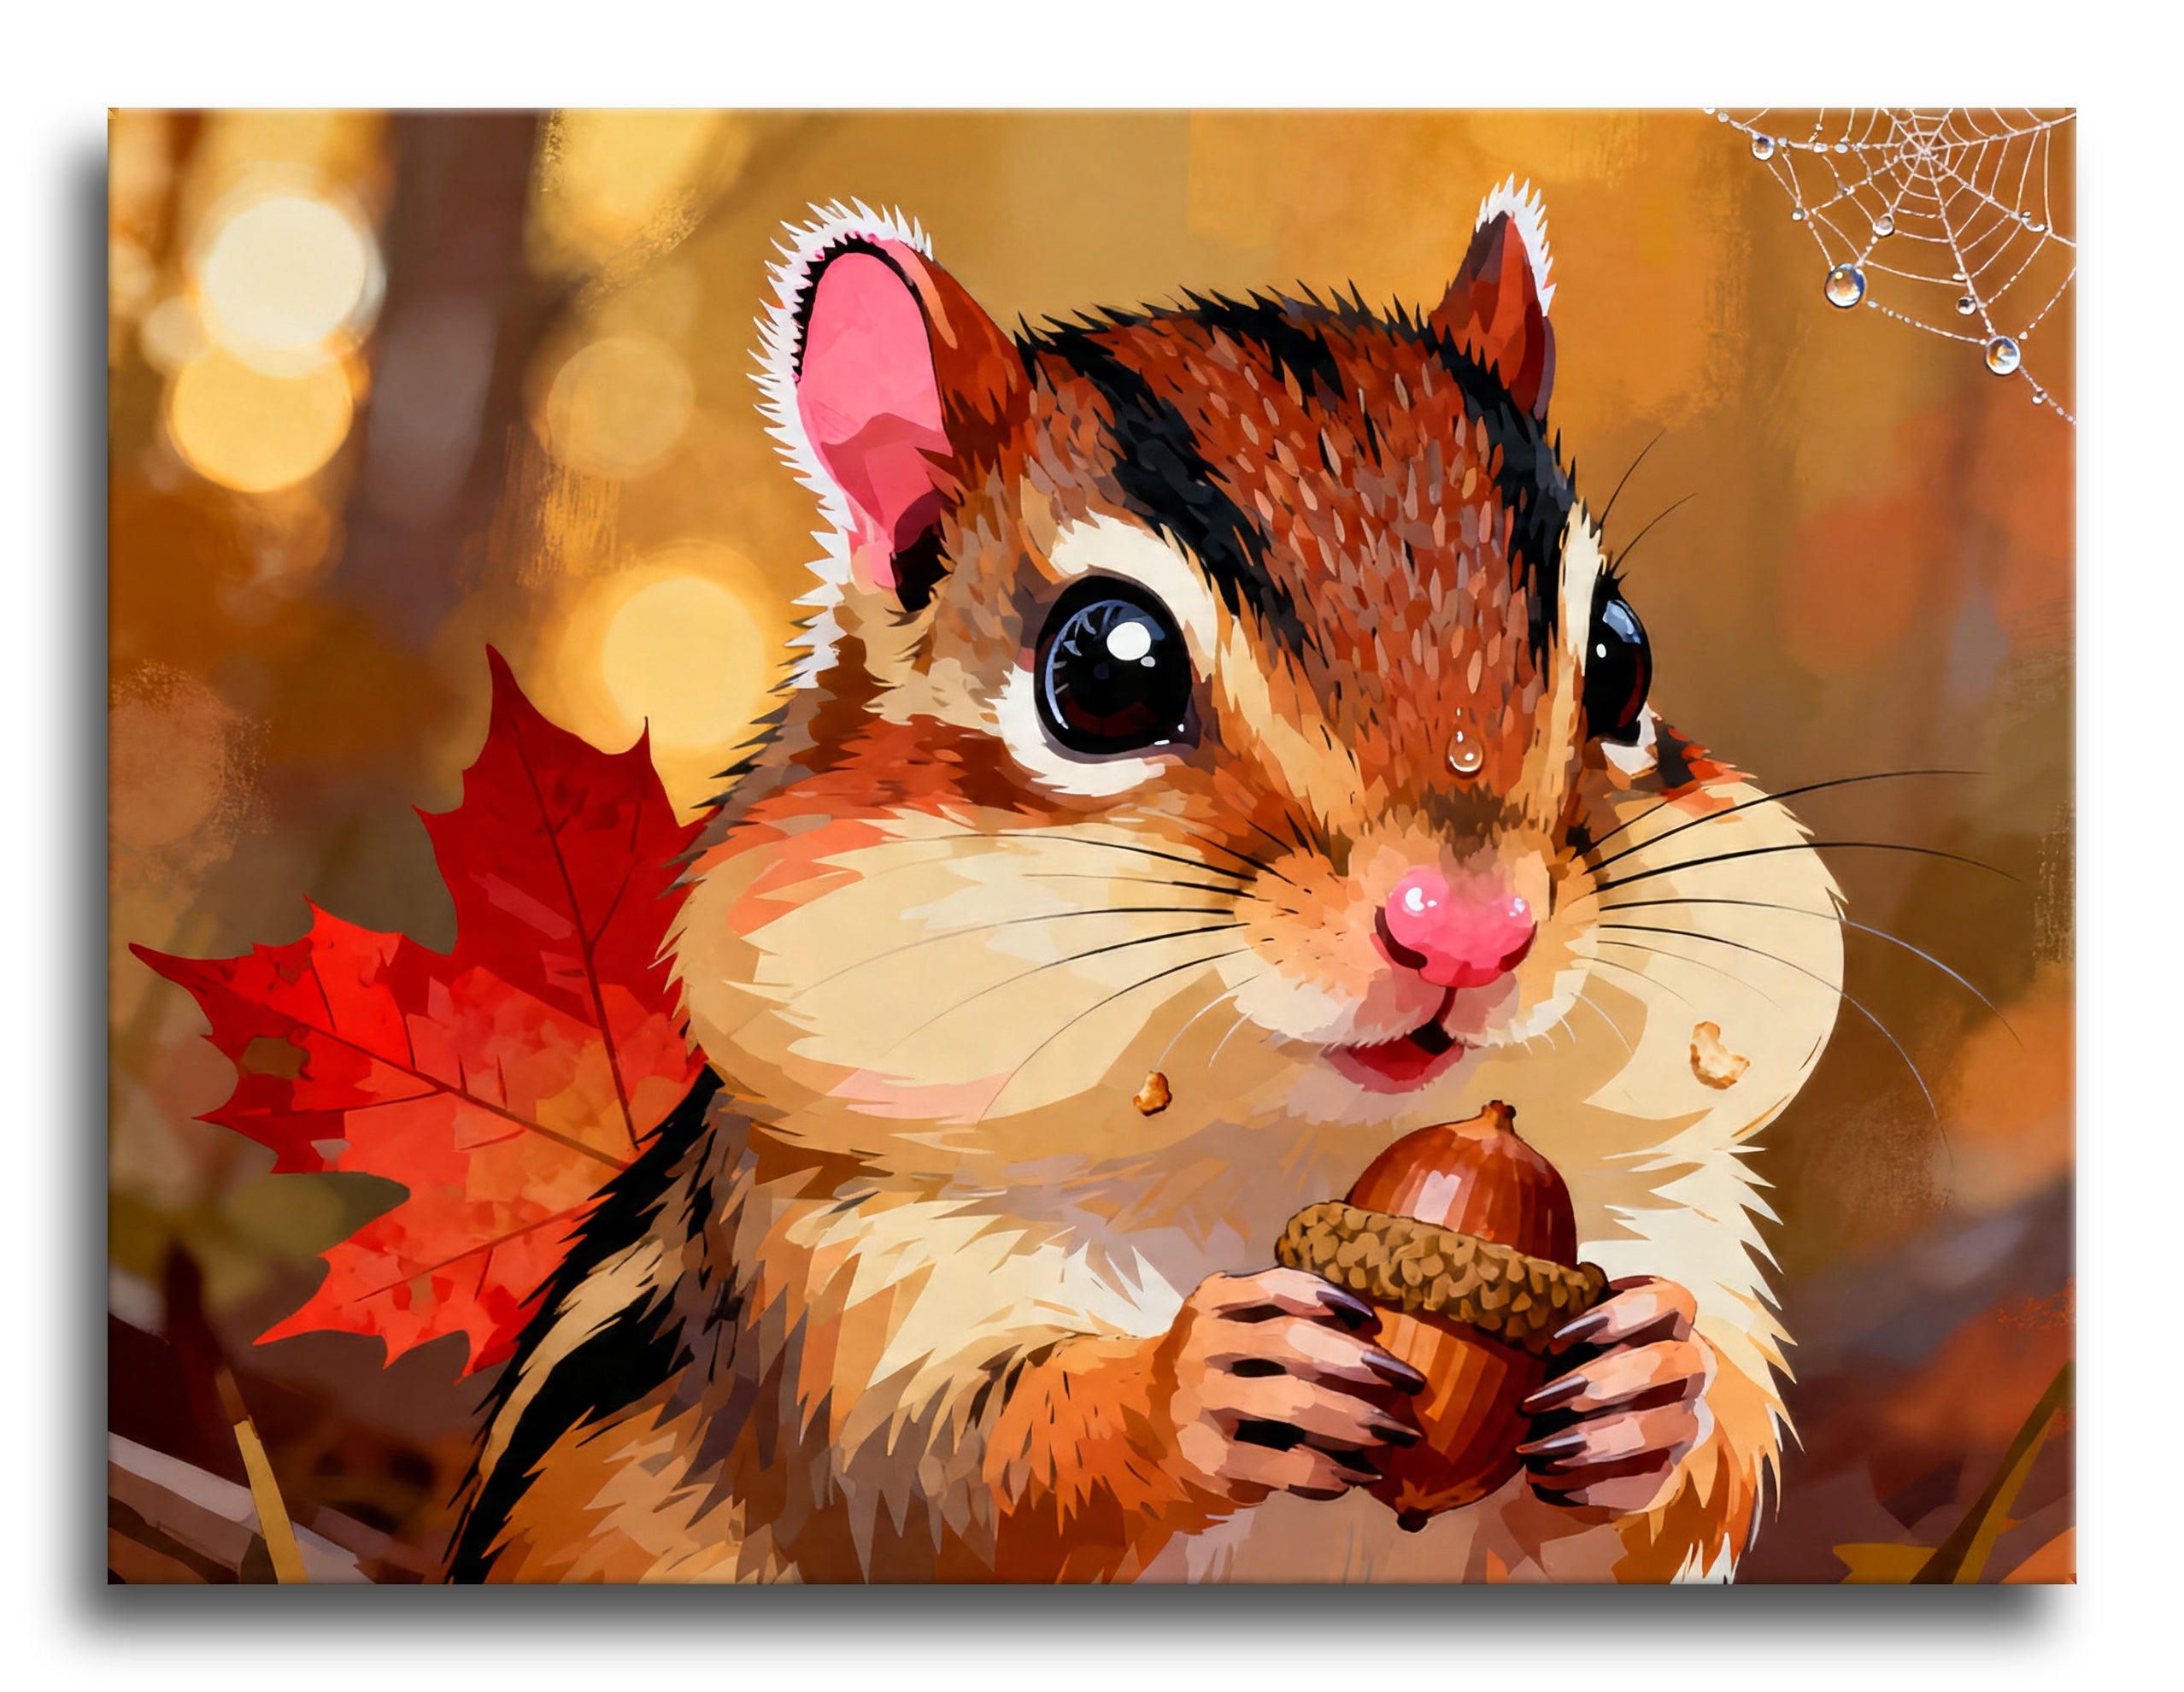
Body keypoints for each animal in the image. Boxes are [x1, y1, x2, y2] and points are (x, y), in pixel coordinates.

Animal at [446, 183, 1845, 1583]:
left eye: (1620, 658)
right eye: (1108, 672)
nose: (1467, 933)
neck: (1288, 1157)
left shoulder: (1680, 1214)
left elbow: (1687, 1473)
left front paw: (1651, 1386)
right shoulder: (830, 1271)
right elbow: (952, 1476)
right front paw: (1202, 1384)